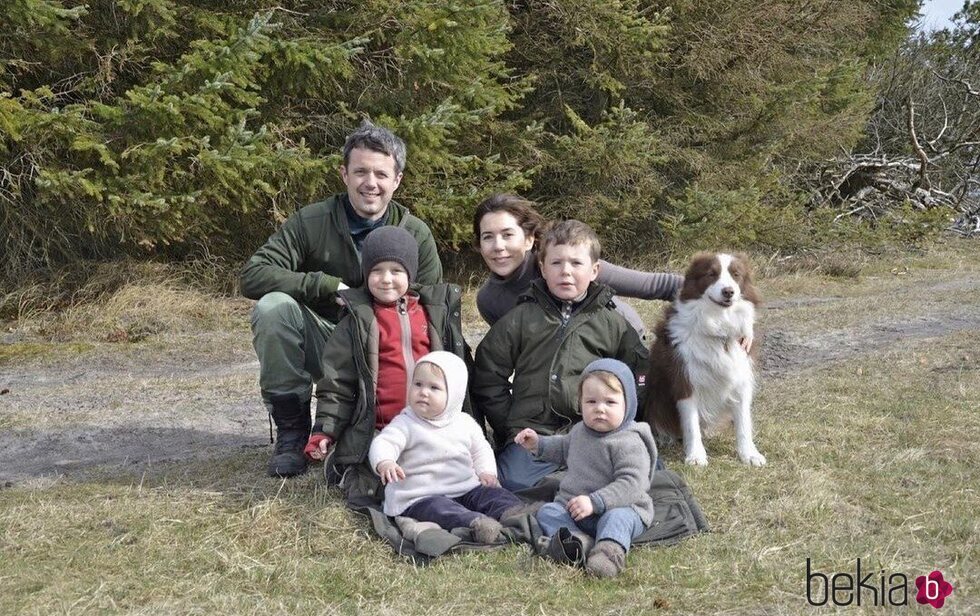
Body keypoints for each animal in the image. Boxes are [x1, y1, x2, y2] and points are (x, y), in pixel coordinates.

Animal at [644, 253, 764, 464]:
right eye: (711, 274)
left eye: (736, 274)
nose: (728, 291)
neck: (719, 329)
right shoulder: (685, 380)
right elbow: (692, 424)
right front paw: (696, 455)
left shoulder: (741, 378)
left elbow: (744, 423)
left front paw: (749, 454)